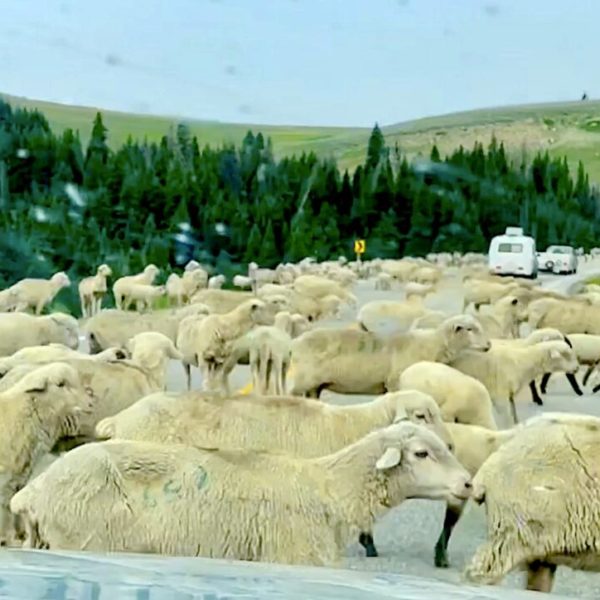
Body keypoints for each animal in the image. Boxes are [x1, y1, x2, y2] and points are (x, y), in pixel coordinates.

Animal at [0, 364, 93, 548]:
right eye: (60, 384)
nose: (90, 403)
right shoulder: (6, 477)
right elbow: (5, 508)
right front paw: (7, 539)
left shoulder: (18, 476)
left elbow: (12, 506)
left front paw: (19, 537)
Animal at [7, 420, 472, 564]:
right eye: (422, 453)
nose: (469, 483)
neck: (329, 490)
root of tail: (31, 493)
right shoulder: (294, 555)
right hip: (82, 538)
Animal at [290, 314, 492, 398]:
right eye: (470, 329)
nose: (489, 345)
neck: (432, 343)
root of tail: (295, 343)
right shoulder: (395, 382)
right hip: (301, 382)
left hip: (314, 386)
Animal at [452, 338, 580, 426]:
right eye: (566, 355)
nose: (577, 368)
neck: (521, 362)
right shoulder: (500, 397)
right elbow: (507, 419)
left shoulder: (510, 396)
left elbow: (514, 416)